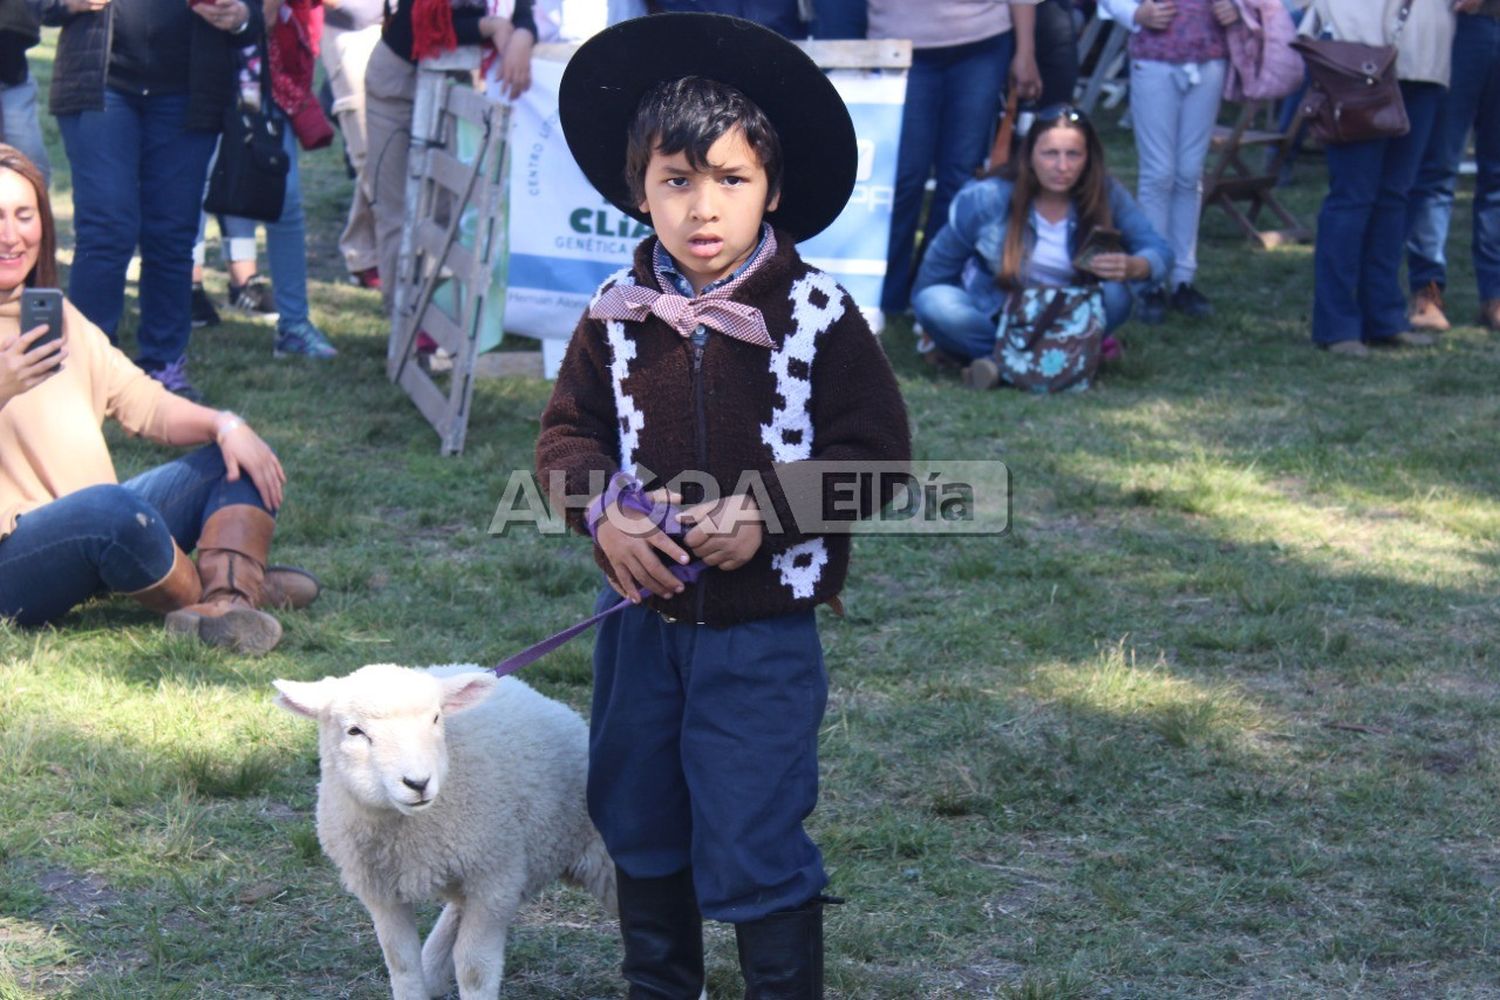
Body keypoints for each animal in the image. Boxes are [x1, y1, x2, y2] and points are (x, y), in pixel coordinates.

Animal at [274, 665, 615, 1000]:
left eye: (437, 719)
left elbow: (474, 969)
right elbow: (401, 963)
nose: (418, 783)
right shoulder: (380, 891)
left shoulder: (493, 880)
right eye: (354, 731)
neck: (405, 831)